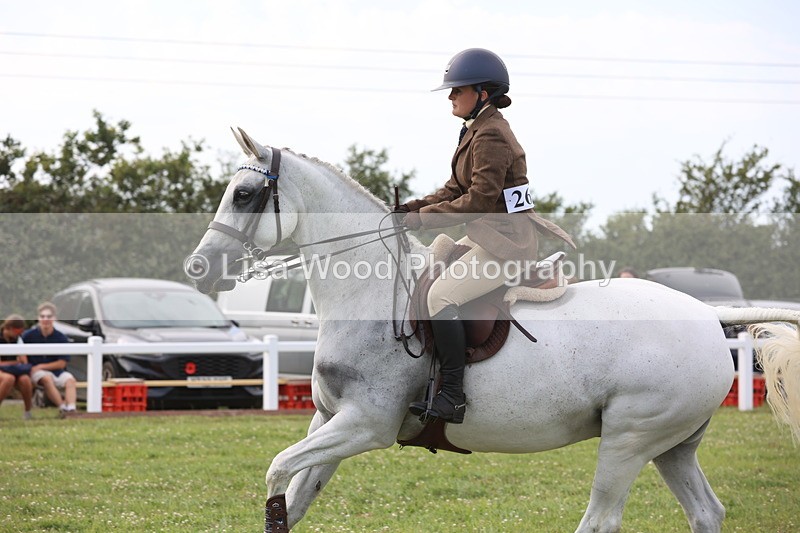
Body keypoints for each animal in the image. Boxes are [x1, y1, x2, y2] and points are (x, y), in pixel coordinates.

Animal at [189, 128, 800, 533]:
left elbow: (276, 472)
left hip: (629, 439)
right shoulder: (331, 421)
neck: (370, 296)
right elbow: (293, 498)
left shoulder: (366, 424)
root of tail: (708, 316)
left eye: (244, 195)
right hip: (673, 446)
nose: (200, 269)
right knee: (706, 512)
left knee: (602, 519)